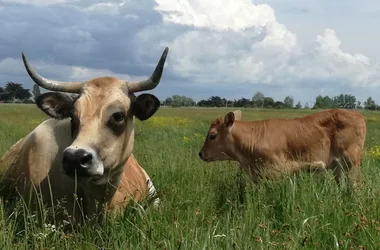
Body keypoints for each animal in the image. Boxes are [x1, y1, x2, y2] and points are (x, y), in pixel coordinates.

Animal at [197, 108, 366, 190]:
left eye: (212, 135)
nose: (200, 153)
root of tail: (357, 114)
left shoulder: (276, 172)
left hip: (352, 163)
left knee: (357, 186)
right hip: (339, 167)